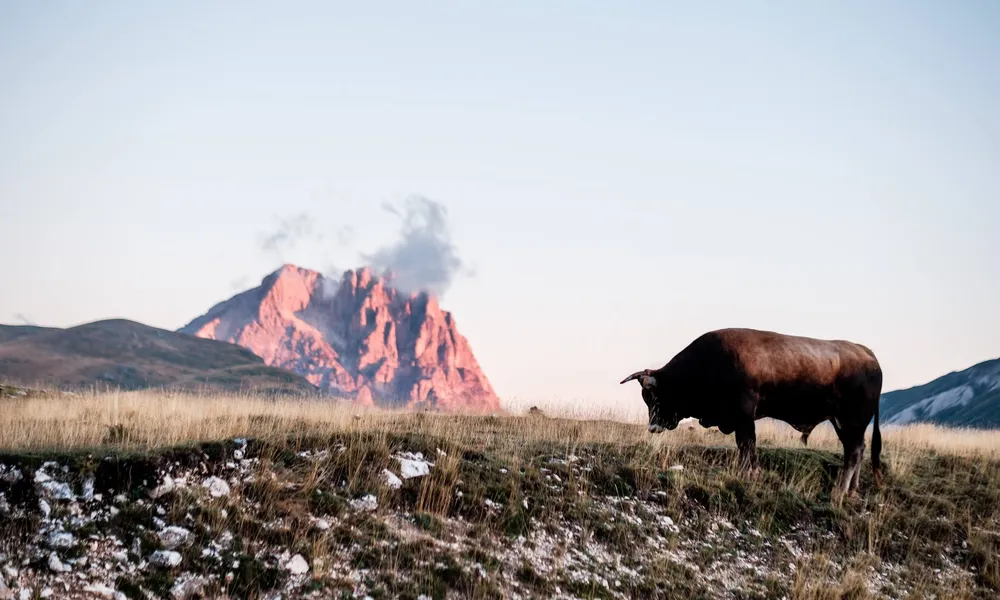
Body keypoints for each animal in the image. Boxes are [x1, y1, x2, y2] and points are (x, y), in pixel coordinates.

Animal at [619, 328, 883, 505]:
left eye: (653, 396)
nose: (653, 427)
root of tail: (866, 353)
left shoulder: (744, 415)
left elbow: (748, 445)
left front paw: (750, 474)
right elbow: (744, 447)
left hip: (851, 419)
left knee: (853, 452)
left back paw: (839, 491)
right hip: (845, 422)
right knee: (857, 450)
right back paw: (852, 489)